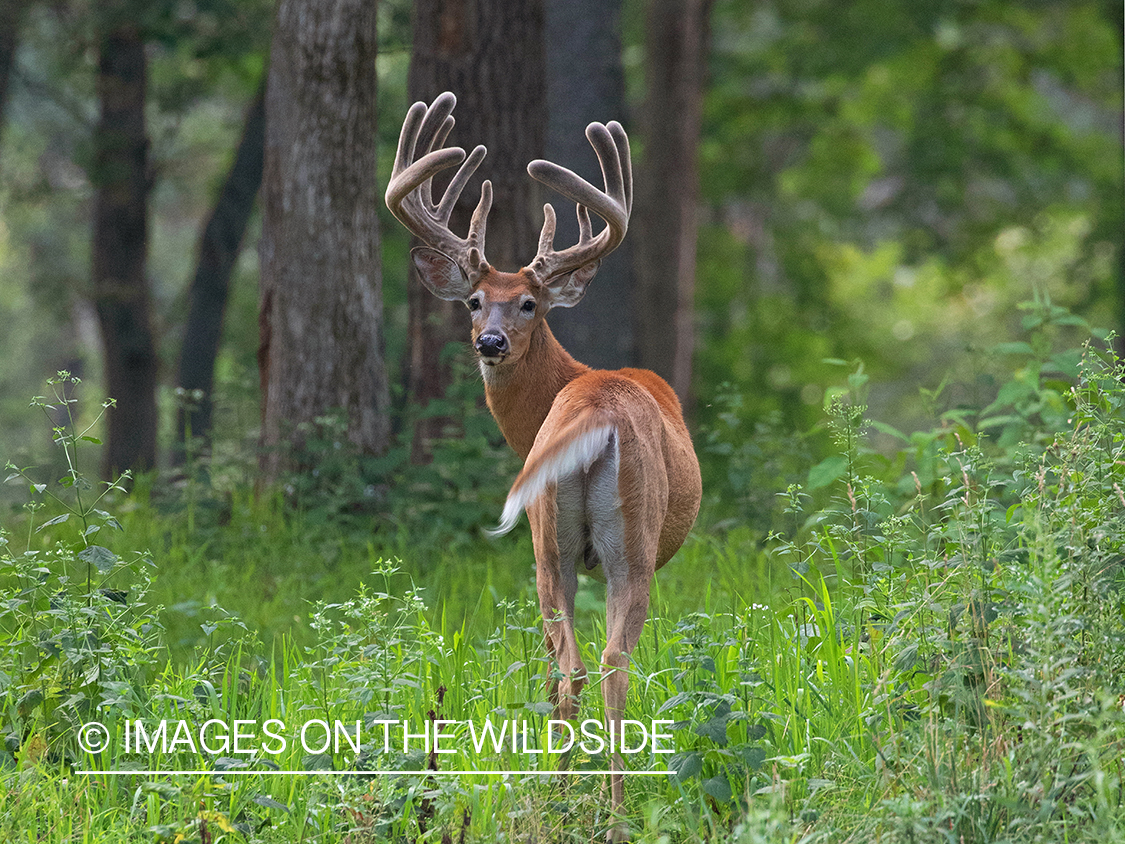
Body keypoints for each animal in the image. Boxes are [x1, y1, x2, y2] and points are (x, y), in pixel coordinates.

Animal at [387, 93, 702, 841]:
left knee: (579, 668)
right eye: (475, 301)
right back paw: (600, 808)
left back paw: (575, 802)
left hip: (553, 540)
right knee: (601, 666)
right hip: (612, 544)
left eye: (528, 302)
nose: (490, 341)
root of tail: (595, 413)